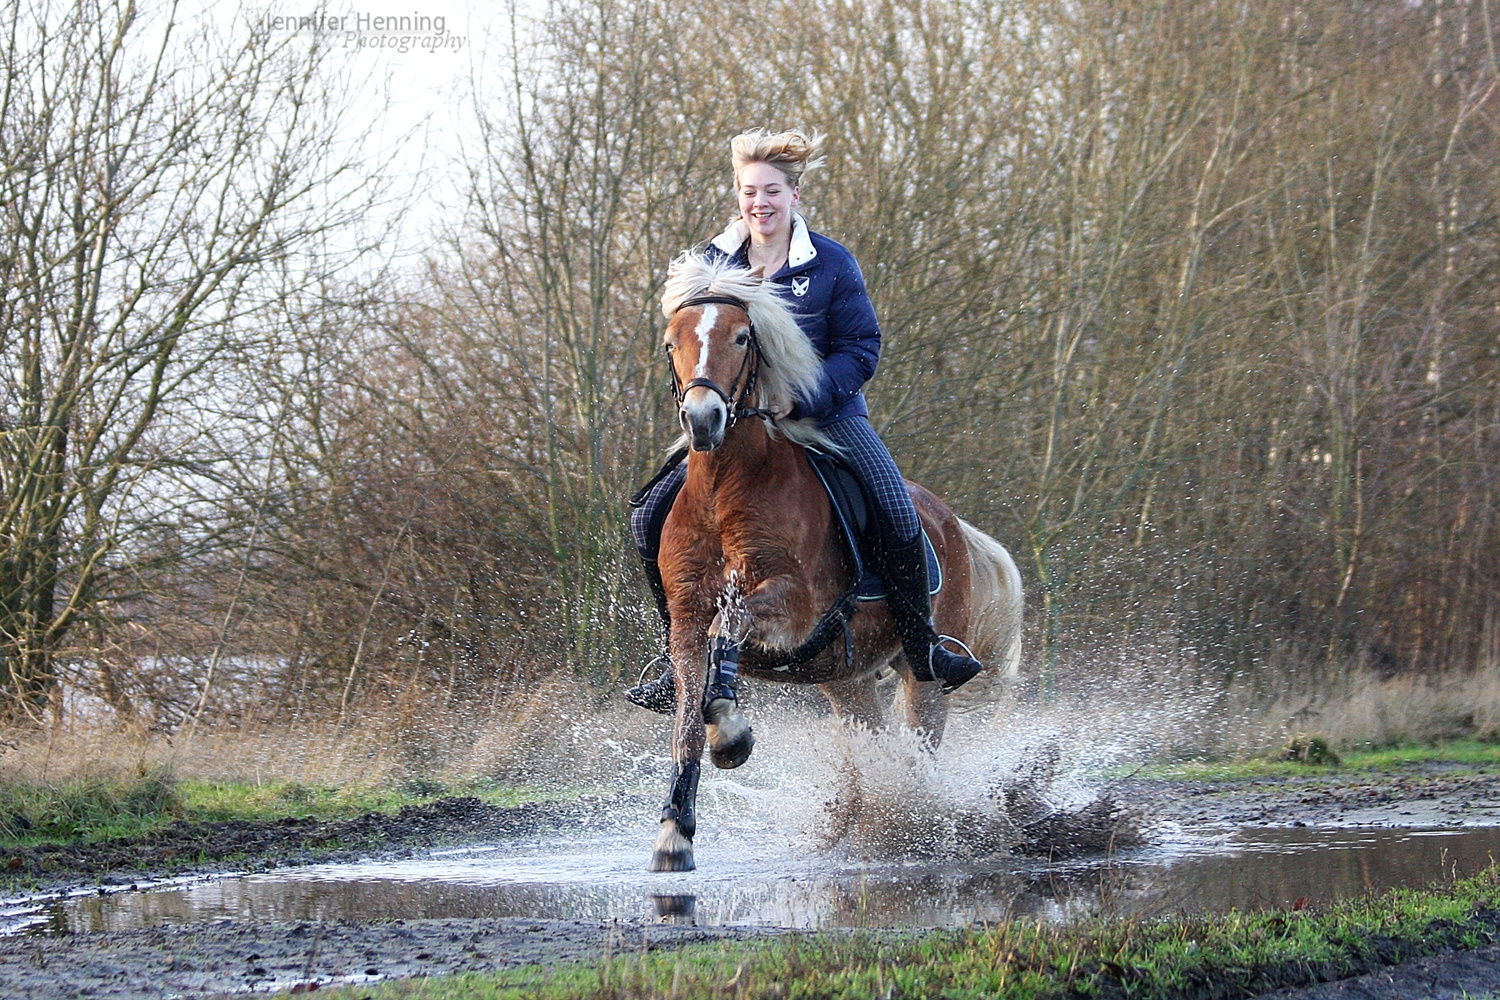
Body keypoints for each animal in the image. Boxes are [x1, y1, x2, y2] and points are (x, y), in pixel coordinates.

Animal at [645, 251, 1020, 875]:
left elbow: (730, 626)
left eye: (742, 336)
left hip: (923, 672)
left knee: (919, 748)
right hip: (848, 682)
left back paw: (916, 829)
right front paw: (675, 833)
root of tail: (952, 524)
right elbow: (687, 727)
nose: (703, 419)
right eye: (673, 341)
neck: (725, 490)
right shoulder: (686, 622)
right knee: (877, 749)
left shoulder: (792, 606)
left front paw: (733, 733)